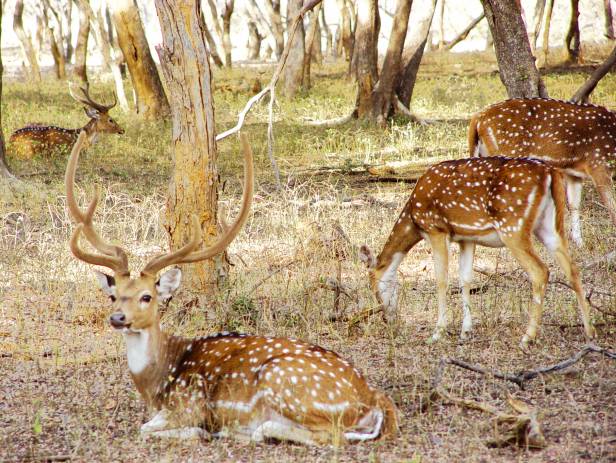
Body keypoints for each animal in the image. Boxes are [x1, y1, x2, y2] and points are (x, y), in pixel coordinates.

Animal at [65, 131, 398, 446]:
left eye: (147, 296)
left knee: (328, 435)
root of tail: (376, 399)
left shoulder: (189, 403)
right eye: (113, 295)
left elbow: (147, 428)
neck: (157, 384)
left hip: (284, 379)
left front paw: (200, 432)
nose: (117, 318)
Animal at [360, 156, 596, 348]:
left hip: (513, 227)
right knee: (572, 269)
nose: (388, 320)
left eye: (374, 288)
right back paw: (589, 331)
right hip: (549, 226)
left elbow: (442, 280)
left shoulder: (436, 229)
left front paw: (437, 333)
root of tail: (550, 173)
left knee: (540, 271)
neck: (413, 219)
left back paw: (527, 337)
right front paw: (466, 331)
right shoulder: (467, 238)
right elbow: (465, 279)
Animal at [466, 98, 616, 248]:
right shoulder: (598, 163)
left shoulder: (574, 173)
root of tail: (478, 118)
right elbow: (611, 204)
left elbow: (574, 205)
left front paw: (579, 243)